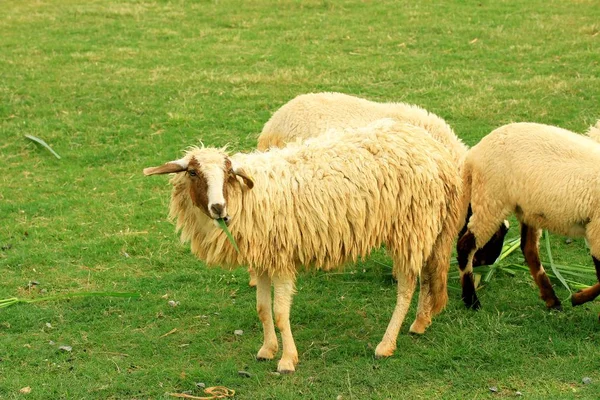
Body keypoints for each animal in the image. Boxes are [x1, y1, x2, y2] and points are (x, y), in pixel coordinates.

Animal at [144, 120, 464, 374]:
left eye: (228, 173)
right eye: (193, 173)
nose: (219, 208)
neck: (249, 197)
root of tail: (435, 150)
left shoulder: (282, 257)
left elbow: (280, 313)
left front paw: (287, 360)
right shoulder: (263, 259)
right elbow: (263, 308)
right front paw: (267, 350)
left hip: (411, 225)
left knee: (407, 286)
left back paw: (386, 344)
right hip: (426, 227)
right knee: (428, 274)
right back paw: (421, 322)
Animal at [454, 120, 600, 314]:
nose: (483, 262)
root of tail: (473, 154)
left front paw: (577, 297)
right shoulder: (597, 231)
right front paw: (578, 298)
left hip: (527, 209)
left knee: (528, 248)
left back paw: (552, 299)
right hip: (491, 197)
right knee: (465, 245)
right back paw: (471, 301)